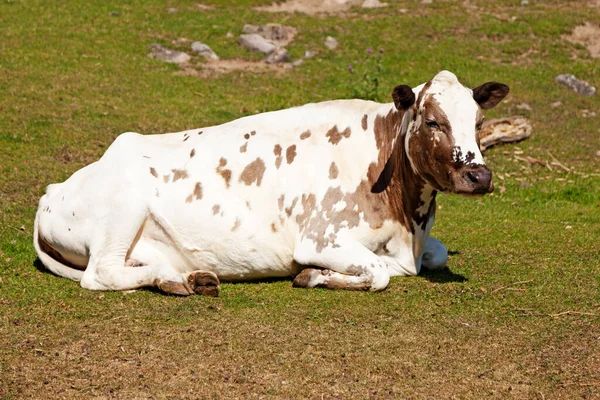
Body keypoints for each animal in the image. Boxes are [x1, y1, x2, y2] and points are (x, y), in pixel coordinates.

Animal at [32, 70, 508, 296]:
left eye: (479, 122)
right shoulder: (322, 238)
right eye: (433, 121)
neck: (407, 217)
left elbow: (430, 258)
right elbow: (377, 273)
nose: (479, 175)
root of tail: (51, 192)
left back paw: (184, 279)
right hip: (123, 210)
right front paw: (314, 276)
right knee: (101, 273)